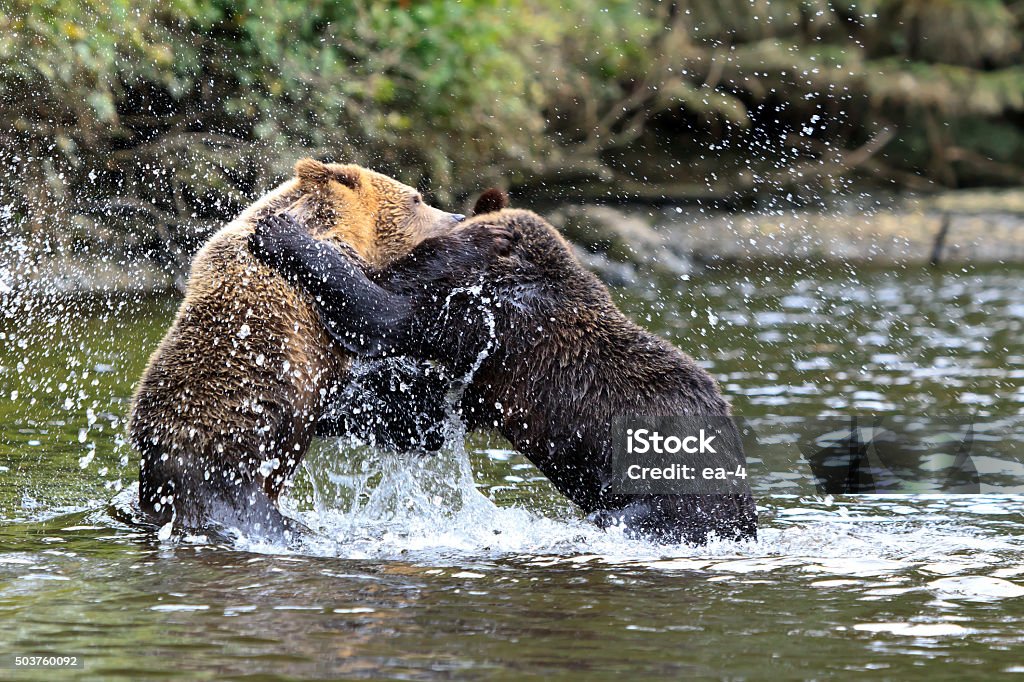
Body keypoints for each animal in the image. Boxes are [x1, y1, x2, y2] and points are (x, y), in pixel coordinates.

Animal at [250, 195, 757, 540]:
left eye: (420, 255)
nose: (380, 269)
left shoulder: (497, 328)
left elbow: (385, 319)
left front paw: (279, 231)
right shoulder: (479, 382)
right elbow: (418, 417)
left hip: (670, 495)